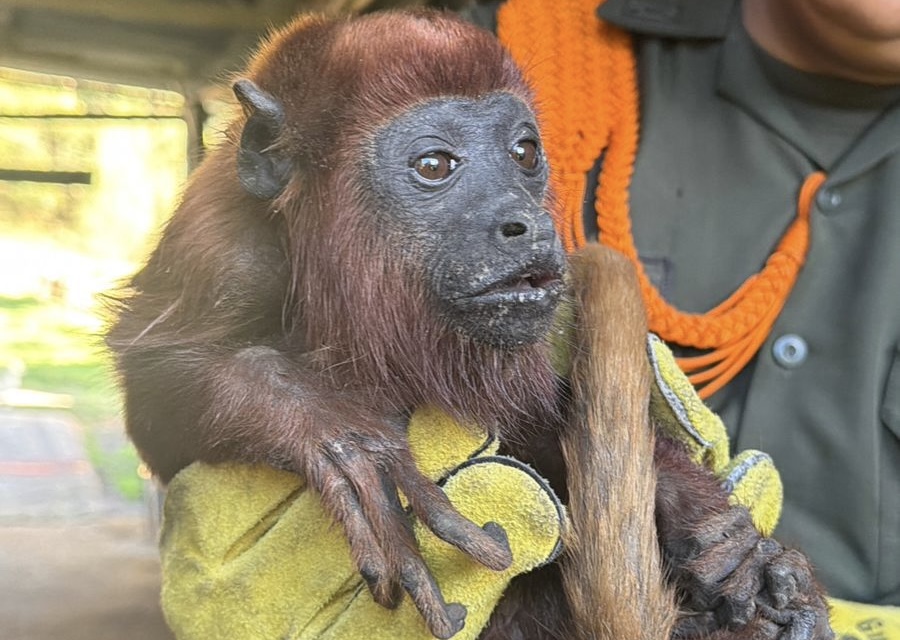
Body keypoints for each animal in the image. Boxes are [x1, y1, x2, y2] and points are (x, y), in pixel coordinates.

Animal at [106, 10, 832, 640]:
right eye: (434, 165)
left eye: (524, 153)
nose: (527, 221)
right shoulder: (225, 248)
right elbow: (153, 394)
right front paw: (339, 438)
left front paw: (731, 545)